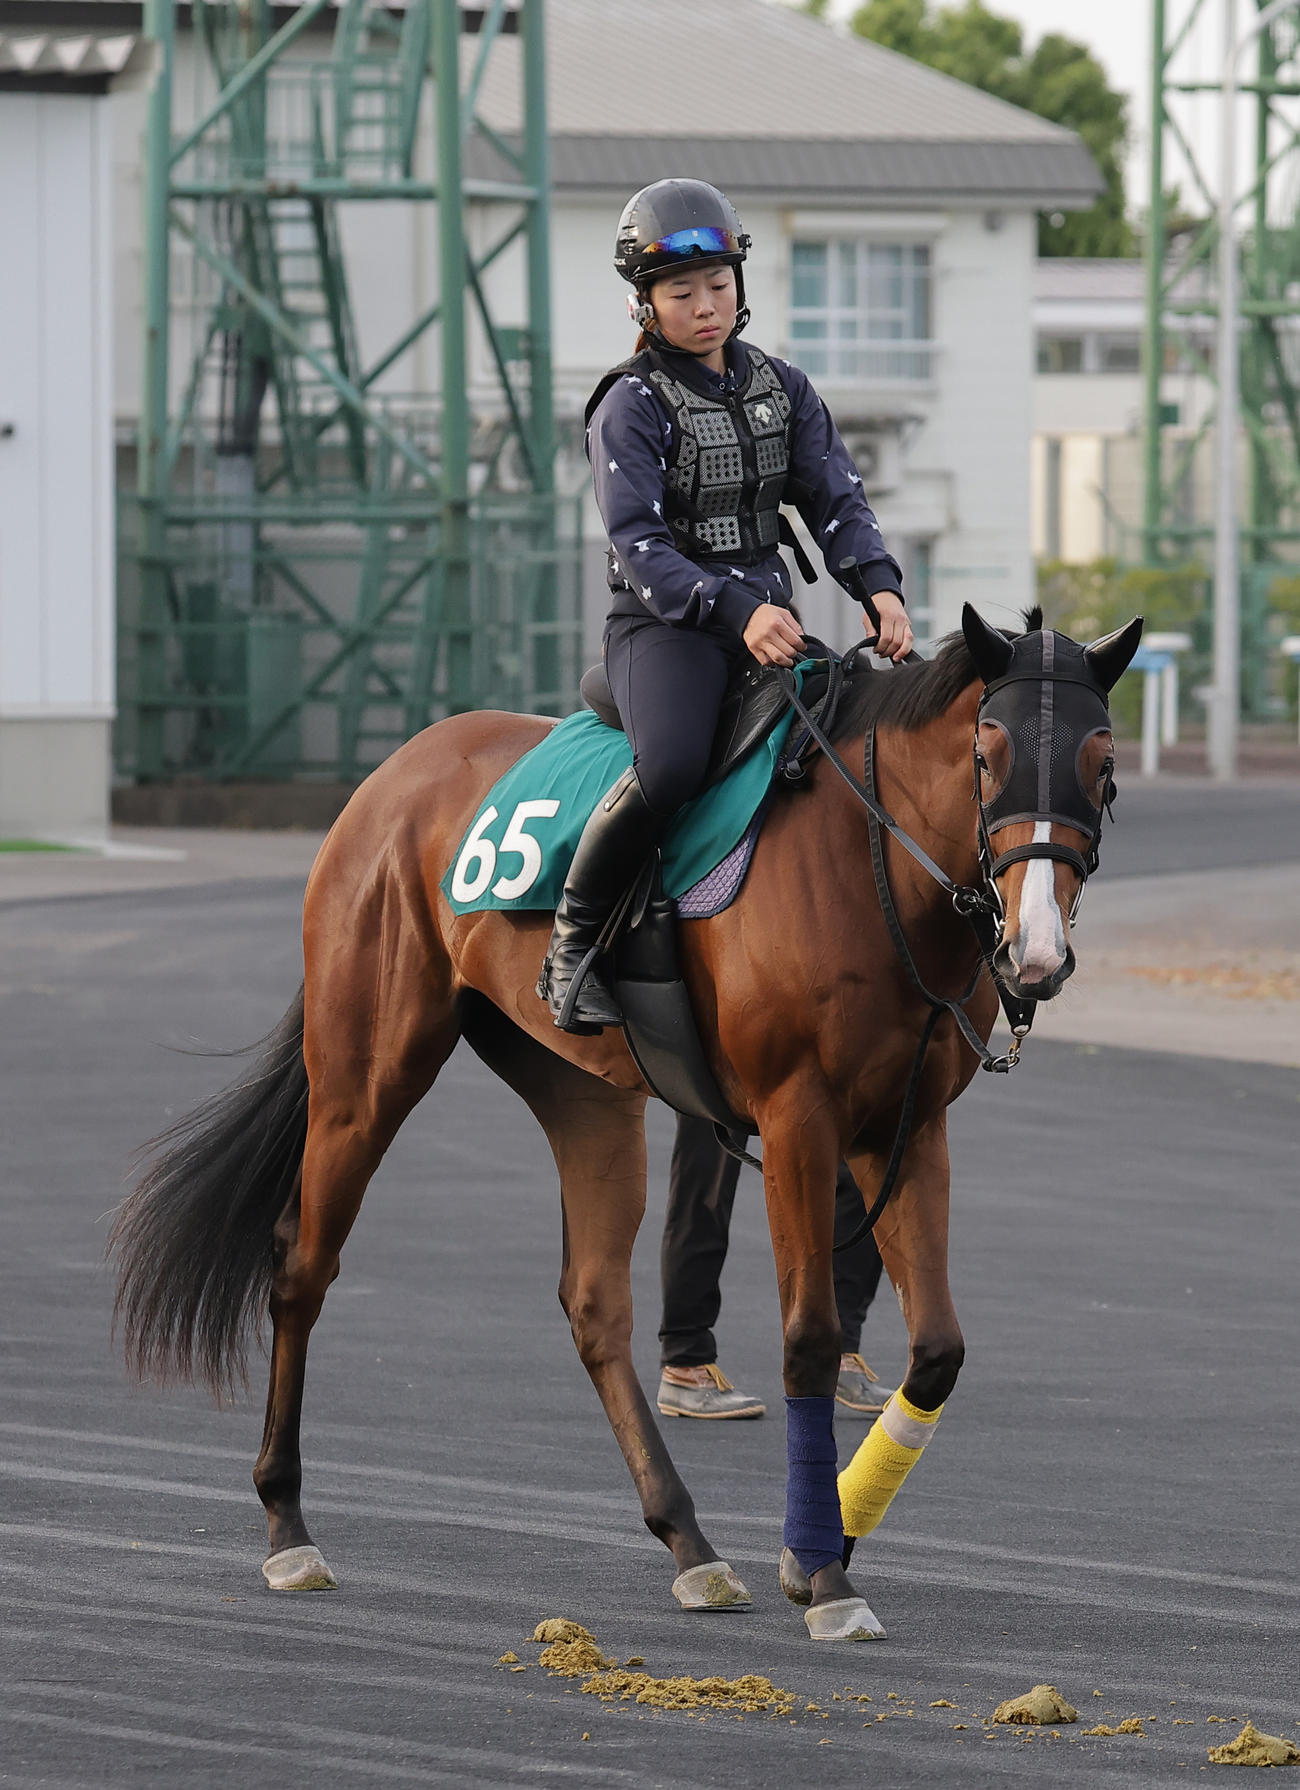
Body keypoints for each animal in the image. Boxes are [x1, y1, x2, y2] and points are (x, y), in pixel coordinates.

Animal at [111, 602, 1141, 1639]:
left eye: (1102, 761)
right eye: (989, 753)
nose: (1038, 953)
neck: (869, 861)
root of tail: (393, 774)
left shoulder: (906, 1127)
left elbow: (936, 1353)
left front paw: (824, 1542)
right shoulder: (799, 1120)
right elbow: (809, 1338)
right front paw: (825, 1574)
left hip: (587, 1098)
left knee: (596, 1304)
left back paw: (690, 1543)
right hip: (366, 1074)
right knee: (302, 1266)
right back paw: (288, 1527)